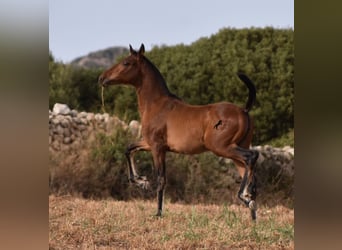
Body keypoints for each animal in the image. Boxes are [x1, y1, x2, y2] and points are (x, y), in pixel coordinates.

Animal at [99, 44, 260, 220]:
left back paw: (244, 197)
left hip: (222, 148)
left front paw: (158, 212)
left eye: (126, 63)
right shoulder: (149, 144)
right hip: (236, 149)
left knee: (251, 157)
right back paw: (252, 214)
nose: (102, 78)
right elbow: (129, 149)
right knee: (250, 172)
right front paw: (141, 181)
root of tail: (244, 110)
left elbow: (161, 178)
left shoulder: (157, 147)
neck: (157, 104)